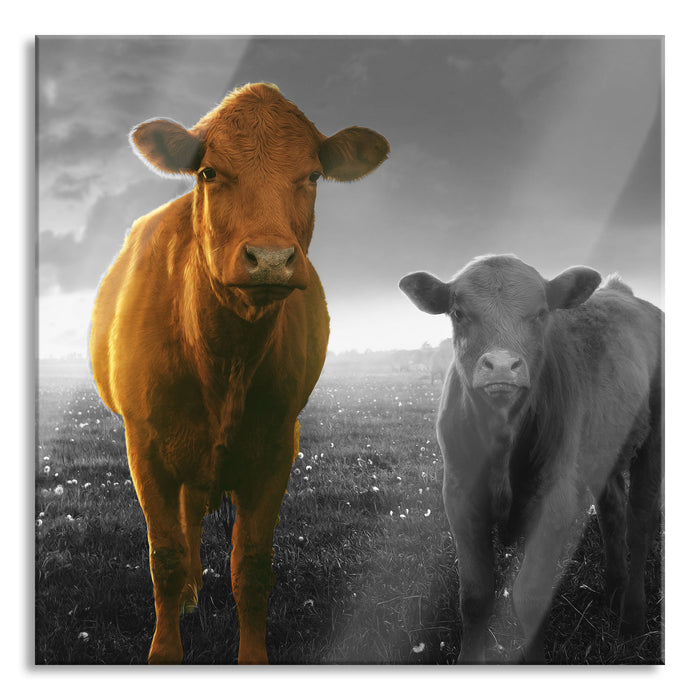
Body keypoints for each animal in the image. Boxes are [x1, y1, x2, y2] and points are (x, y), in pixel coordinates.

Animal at [90, 83, 389, 664]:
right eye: (209, 172)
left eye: (312, 175)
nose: (270, 258)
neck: (222, 360)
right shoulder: (144, 446)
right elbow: (164, 557)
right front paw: (165, 650)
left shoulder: (276, 446)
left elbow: (251, 565)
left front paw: (252, 657)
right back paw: (188, 594)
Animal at [399, 254, 662, 663]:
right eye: (458, 312)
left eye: (540, 313)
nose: (502, 365)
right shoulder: (459, 495)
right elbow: (475, 595)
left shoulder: (554, 502)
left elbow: (530, 597)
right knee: (613, 512)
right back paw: (613, 591)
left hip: (653, 440)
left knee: (640, 521)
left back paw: (632, 618)